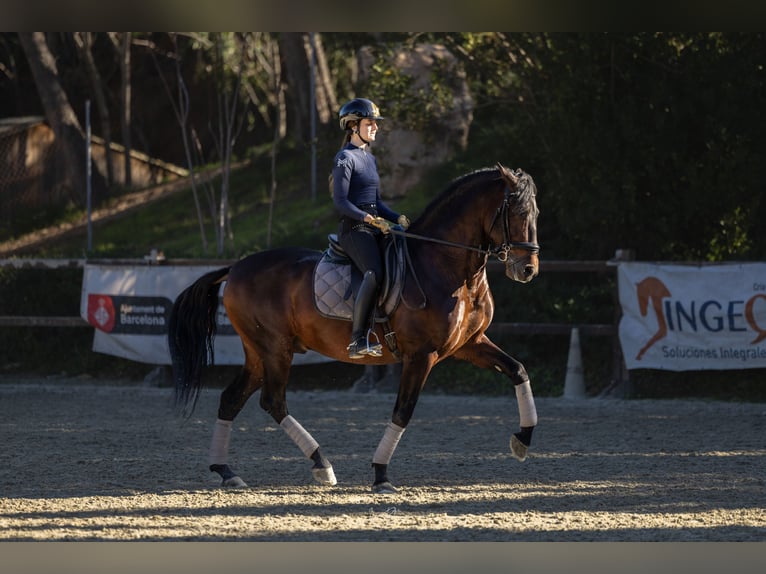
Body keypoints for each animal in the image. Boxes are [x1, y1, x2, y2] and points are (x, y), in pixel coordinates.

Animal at [170, 162, 540, 496]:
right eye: (518, 212)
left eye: (535, 213)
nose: (528, 270)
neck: (444, 266)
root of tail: (236, 267)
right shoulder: (422, 355)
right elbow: (403, 411)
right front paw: (380, 475)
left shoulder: (470, 344)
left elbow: (518, 370)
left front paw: (522, 440)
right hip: (276, 348)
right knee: (273, 401)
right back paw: (321, 464)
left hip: (258, 353)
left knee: (231, 399)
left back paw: (226, 471)